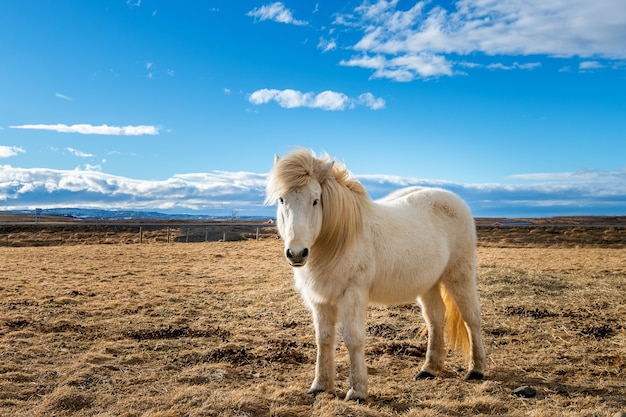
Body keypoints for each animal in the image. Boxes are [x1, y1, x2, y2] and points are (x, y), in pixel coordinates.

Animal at [266, 149, 486, 400]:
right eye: (281, 199)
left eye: (315, 200)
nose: (296, 253)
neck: (339, 239)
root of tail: (456, 201)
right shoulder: (320, 300)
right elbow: (323, 340)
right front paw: (320, 386)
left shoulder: (353, 294)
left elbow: (353, 339)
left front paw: (357, 391)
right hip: (429, 284)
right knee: (435, 319)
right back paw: (429, 369)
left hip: (460, 276)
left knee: (471, 318)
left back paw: (476, 370)